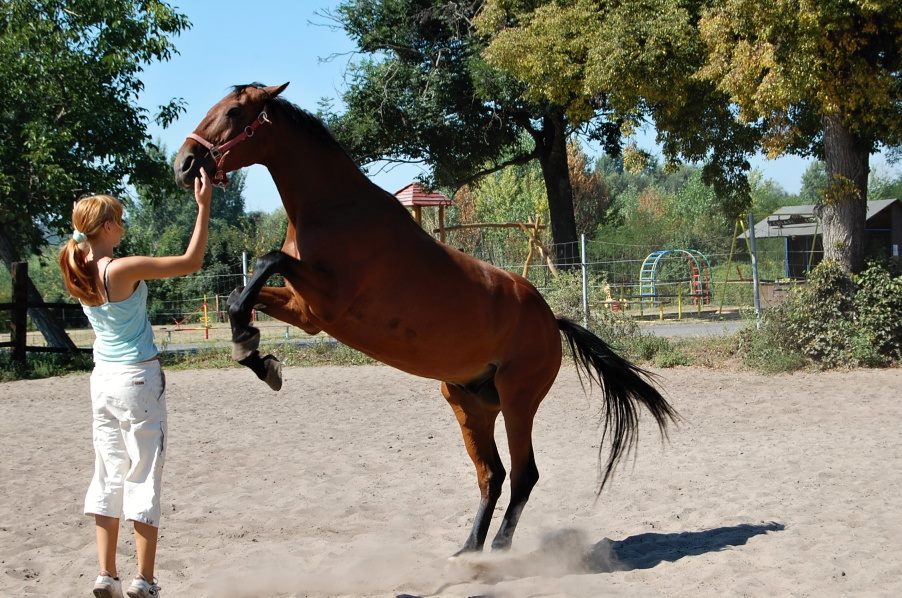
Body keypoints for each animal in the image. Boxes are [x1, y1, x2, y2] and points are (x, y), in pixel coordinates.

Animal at [175, 82, 680, 556]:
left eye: (234, 112)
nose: (183, 163)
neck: (335, 210)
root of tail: (552, 321)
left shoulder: (327, 302)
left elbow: (266, 260)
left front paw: (253, 351)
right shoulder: (306, 312)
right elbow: (241, 294)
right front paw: (257, 356)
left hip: (518, 401)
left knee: (523, 475)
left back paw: (498, 551)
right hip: (469, 404)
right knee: (492, 475)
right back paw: (468, 550)